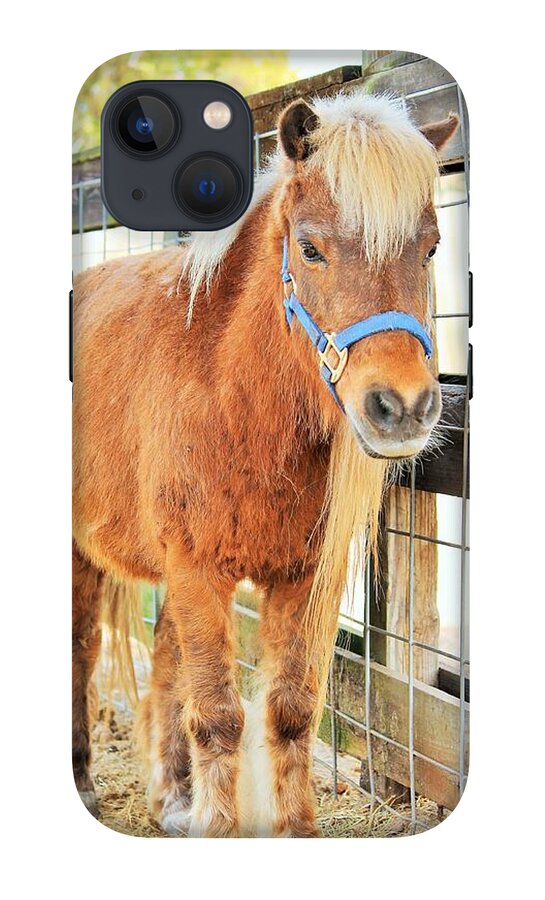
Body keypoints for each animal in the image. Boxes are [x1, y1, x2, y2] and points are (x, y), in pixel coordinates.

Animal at [72, 91, 459, 837]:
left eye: (429, 247)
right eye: (308, 248)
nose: (402, 407)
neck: (233, 397)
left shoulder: (298, 578)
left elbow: (289, 711)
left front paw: (291, 828)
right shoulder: (197, 571)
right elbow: (220, 717)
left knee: (164, 664)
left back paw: (172, 798)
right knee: (81, 653)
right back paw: (82, 781)